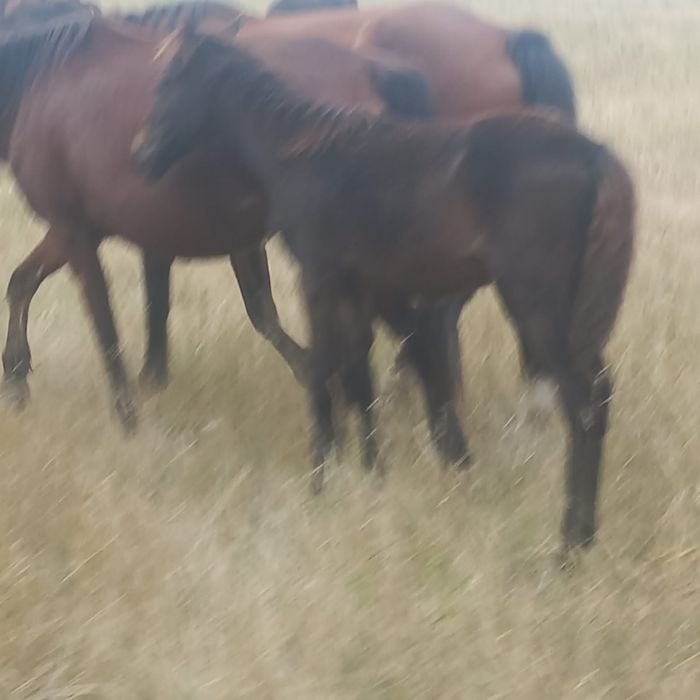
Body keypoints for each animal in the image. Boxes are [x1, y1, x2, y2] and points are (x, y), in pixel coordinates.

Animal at [0, 11, 436, 432]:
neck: (40, 84)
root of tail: (375, 72)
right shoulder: (79, 229)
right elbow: (22, 282)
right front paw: (16, 377)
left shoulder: (75, 231)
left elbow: (104, 322)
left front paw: (126, 413)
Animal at [133, 30, 635, 552]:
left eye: (168, 82)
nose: (140, 155)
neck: (305, 155)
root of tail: (592, 154)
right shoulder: (359, 289)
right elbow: (359, 381)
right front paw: (372, 473)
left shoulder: (320, 280)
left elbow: (323, 373)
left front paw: (319, 481)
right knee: (598, 397)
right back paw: (583, 536)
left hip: (536, 304)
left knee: (582, 404)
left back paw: (570, 544)